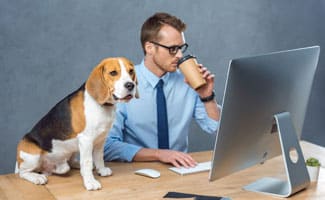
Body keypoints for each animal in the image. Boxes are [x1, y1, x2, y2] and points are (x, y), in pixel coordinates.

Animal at [15, 56, 137, 191]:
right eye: (113, 73)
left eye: (131, 71)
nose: (130, 85)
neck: (102, 106)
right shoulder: (86, 139)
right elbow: (87, 161)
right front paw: (90, 182)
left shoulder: (101, 139)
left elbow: (99, 156)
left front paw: (101, 170)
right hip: (32, 156)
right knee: (23, 173)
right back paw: (37, 177)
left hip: (71, 151)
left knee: (66, 165)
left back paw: (66, 166)